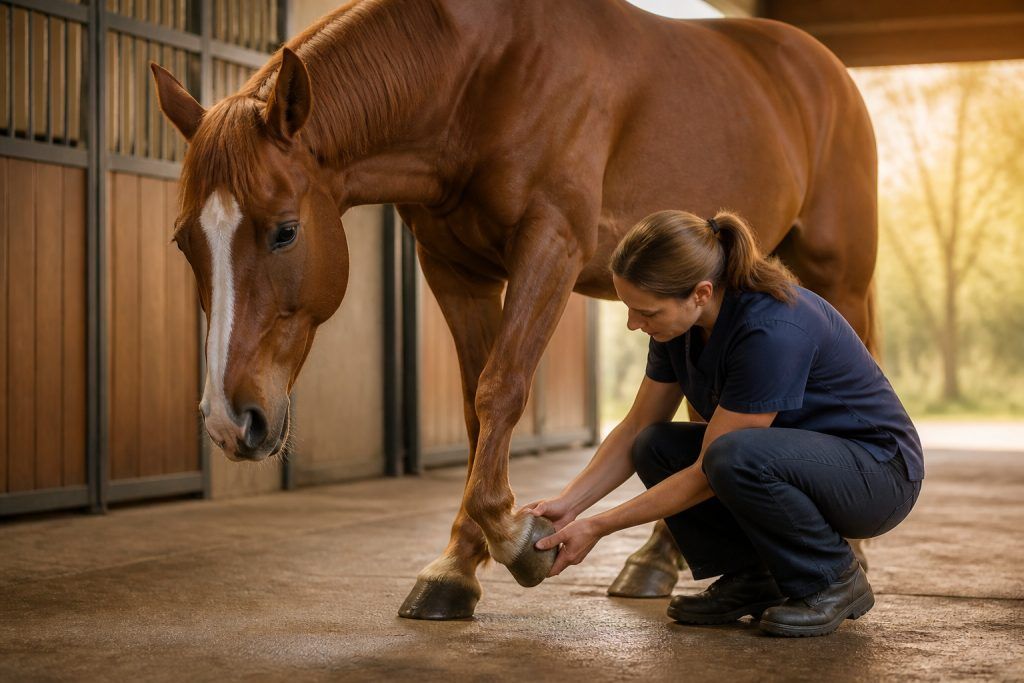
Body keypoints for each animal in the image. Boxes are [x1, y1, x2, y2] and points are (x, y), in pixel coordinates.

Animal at [152, 0, 877, 620]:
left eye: (284, 231)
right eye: (184, 240)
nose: (229, 422)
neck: (481, 72)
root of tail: (821, 67)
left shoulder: (549, 244)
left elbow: (501, 390)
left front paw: (515, 537)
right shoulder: (454, 270)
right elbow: (477, 410)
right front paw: (455, 567)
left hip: (839, 275)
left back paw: (850, 556)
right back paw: (653, 563)